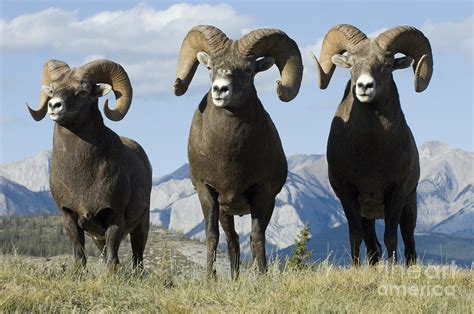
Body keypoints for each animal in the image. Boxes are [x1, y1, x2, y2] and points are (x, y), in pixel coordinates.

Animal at [26, 59, 152, 270]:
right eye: (52, 90)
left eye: (83, 91)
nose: (54, 105)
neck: (83, 176)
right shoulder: (69, 217)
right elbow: (80, 256)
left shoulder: (115, 217)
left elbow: (112, 259)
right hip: (98, 238)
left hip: (141, 226)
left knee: (138, 260)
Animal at [174, 26, 304, 278]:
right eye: (210, 67)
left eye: (248, 69)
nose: (220, 89)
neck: (228, 157)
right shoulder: (207, 192)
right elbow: (212, 236)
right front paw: (209, 278)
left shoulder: (262, 193)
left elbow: (257, 237)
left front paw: (262, 278)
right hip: (227, 211)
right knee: (232, 241)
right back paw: (234, 279)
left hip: (264, 205)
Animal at [312, 25, 432, 264]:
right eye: (351, 63)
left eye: (387, 65)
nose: (364, 86)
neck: (369, 153)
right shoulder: (348, 195)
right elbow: (355, 237)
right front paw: (356, 268)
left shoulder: (396, 193)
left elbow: (391, 238)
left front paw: (392, 269)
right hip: (368, 215)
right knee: (373, 247)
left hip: (409, 206)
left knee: (409, 245)